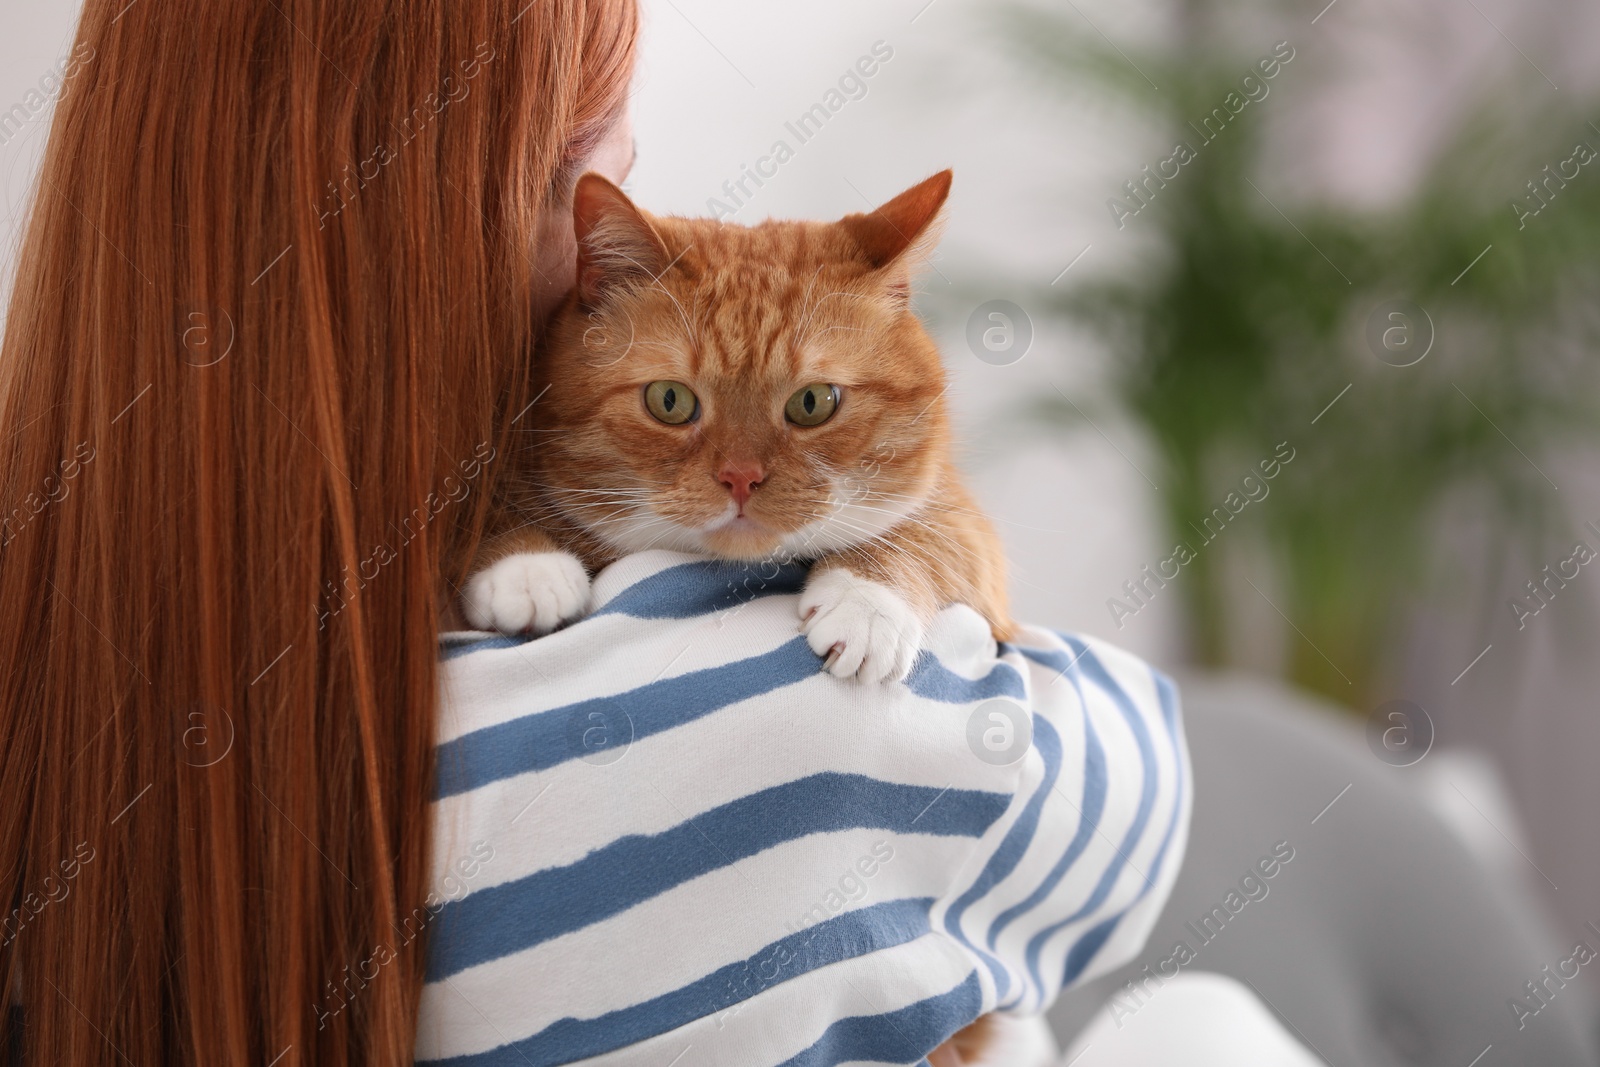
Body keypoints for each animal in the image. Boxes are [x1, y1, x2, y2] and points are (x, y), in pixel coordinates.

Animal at [467, 168, 1011, 684]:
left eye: (813, 402)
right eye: (669, 400)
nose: (741, 478)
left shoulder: (965, 524)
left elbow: (929, 532)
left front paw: (867, 603)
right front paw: (526, 565)